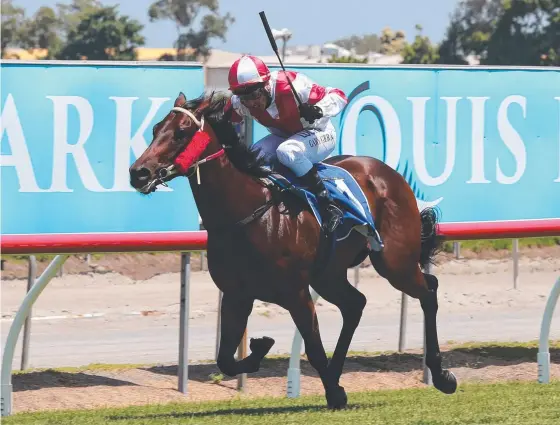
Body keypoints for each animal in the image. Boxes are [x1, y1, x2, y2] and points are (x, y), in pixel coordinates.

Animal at [129, 92, 458, 408]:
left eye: (181, 133)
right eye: (156, 129)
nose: (138, 172)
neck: (246, 214)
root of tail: (389, 173)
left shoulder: (296, 294)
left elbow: (313, 349)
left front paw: (335, 394)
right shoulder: (237, 295)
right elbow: (225, 359)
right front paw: (262, 347)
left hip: (393, 261)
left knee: (428, 290)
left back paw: (442, 376)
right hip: (328, 275)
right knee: (356, 304)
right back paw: (337, 374)